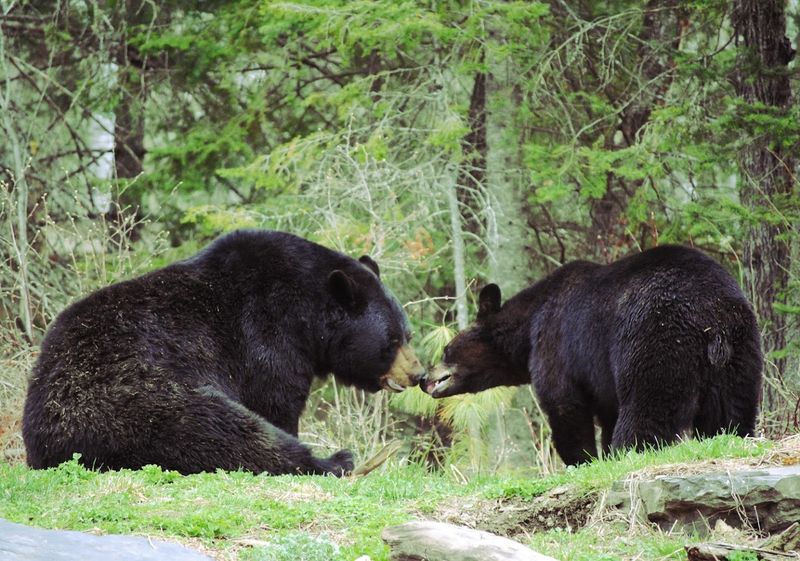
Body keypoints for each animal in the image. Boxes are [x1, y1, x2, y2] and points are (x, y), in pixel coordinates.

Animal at [23, 230, 424, 475]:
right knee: (229, 433)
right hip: (143, 404)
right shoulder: (266, 337)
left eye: (408, 333)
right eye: (391, 342)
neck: (305, 313)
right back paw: (338, 460)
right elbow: (275, 402)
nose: (417, 374)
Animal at [422, 245, 763, 466]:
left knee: (647, 406)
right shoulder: (601, 378)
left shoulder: (556, 345)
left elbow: (564, 404)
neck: (529, 326)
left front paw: (582, 459)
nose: (425, 378)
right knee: (732, 411)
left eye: (447, 349)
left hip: (656, 339)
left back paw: (631, 448)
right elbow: (607, 411)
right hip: (740, 352)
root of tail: (712, 319)